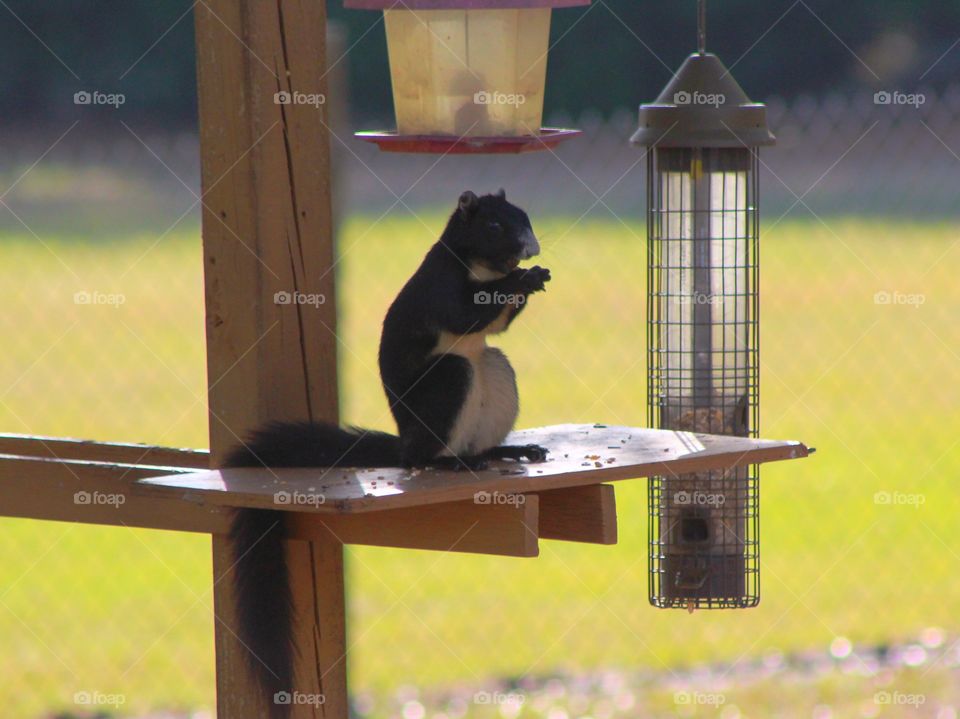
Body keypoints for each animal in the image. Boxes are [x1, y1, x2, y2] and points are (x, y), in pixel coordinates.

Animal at [225, 188, 552, 716]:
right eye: (495, 226)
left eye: (523, 217)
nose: (530, 249)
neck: (484, 268)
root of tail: (407, 440)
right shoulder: (440, 286)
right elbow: (466, 313)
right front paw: (523, 279)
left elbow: (497, 324)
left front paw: (533, 278)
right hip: (449, 381)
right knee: (428, 449)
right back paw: (452, 461)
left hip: (496, 373)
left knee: (486, 407)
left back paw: (509, 451)